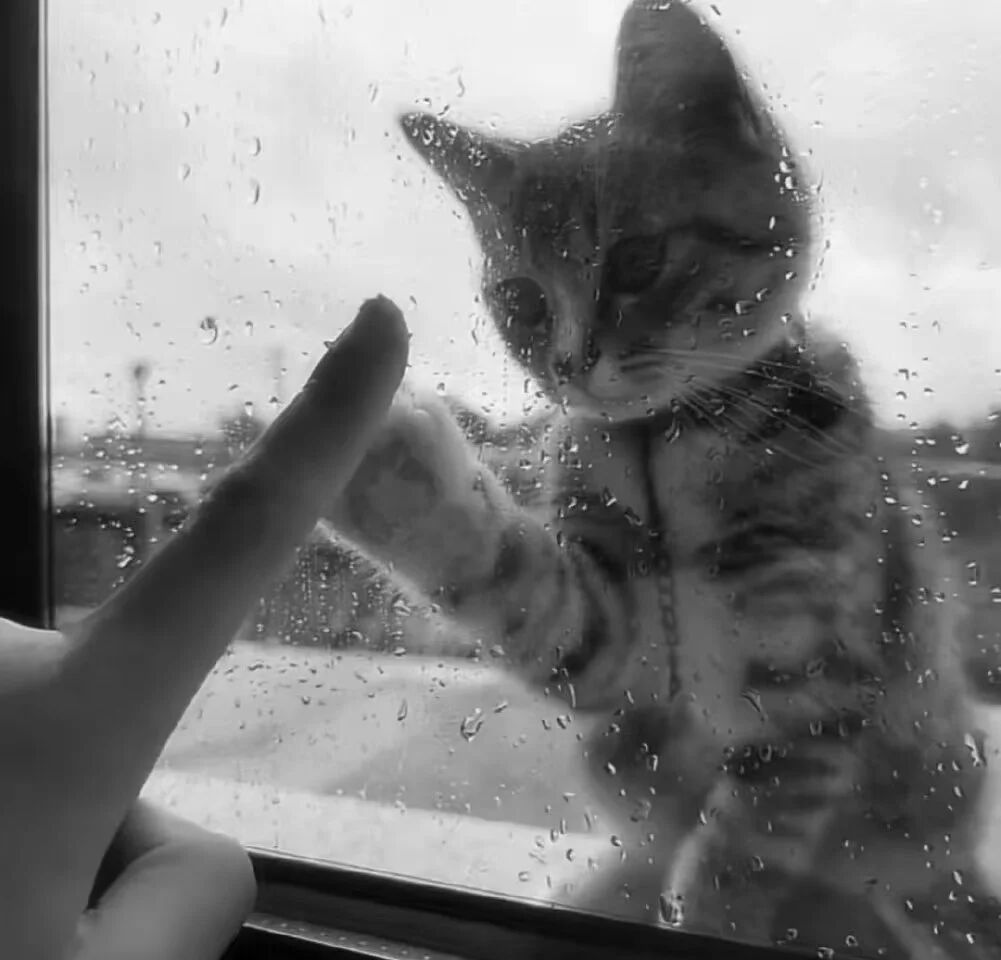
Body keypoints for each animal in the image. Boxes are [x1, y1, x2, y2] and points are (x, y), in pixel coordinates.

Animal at [322, 2, 999, 956]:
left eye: (640, 260)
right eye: (521, 302)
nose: (570, 365)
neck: (665, 441)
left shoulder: (812, 679)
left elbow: (744, 850)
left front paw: (716, 911)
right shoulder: (626, 659)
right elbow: (533, 599)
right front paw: (391, 473)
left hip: (927, 795)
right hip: (618, 747)